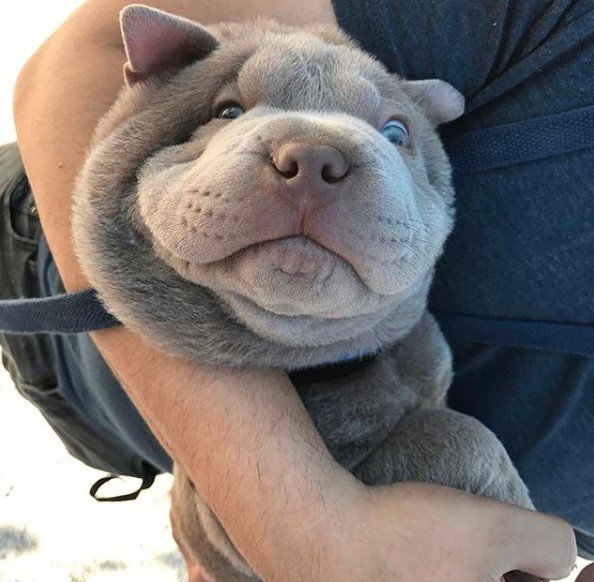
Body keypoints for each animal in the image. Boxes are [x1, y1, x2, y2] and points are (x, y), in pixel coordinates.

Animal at [71, 5, 528, 582]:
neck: (319, 362)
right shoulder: (226, 523)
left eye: (396, 132)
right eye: (227, 111)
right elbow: (454, 438)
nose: (314, 157)